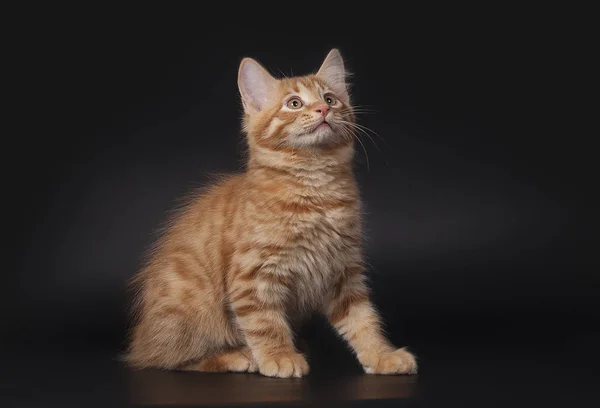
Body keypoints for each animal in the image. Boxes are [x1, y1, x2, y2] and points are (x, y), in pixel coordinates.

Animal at [125, 49, 418, 378]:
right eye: (294, 103)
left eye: (330, 99)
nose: (322, 110)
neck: (316, 188)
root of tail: (140, 339)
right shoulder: (253, 275)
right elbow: (265, 323)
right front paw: (279, 357)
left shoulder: (344, 270)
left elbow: (363, 320)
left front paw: (382, 355)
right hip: (192, 308)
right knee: (172, 359)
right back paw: (240, 356)